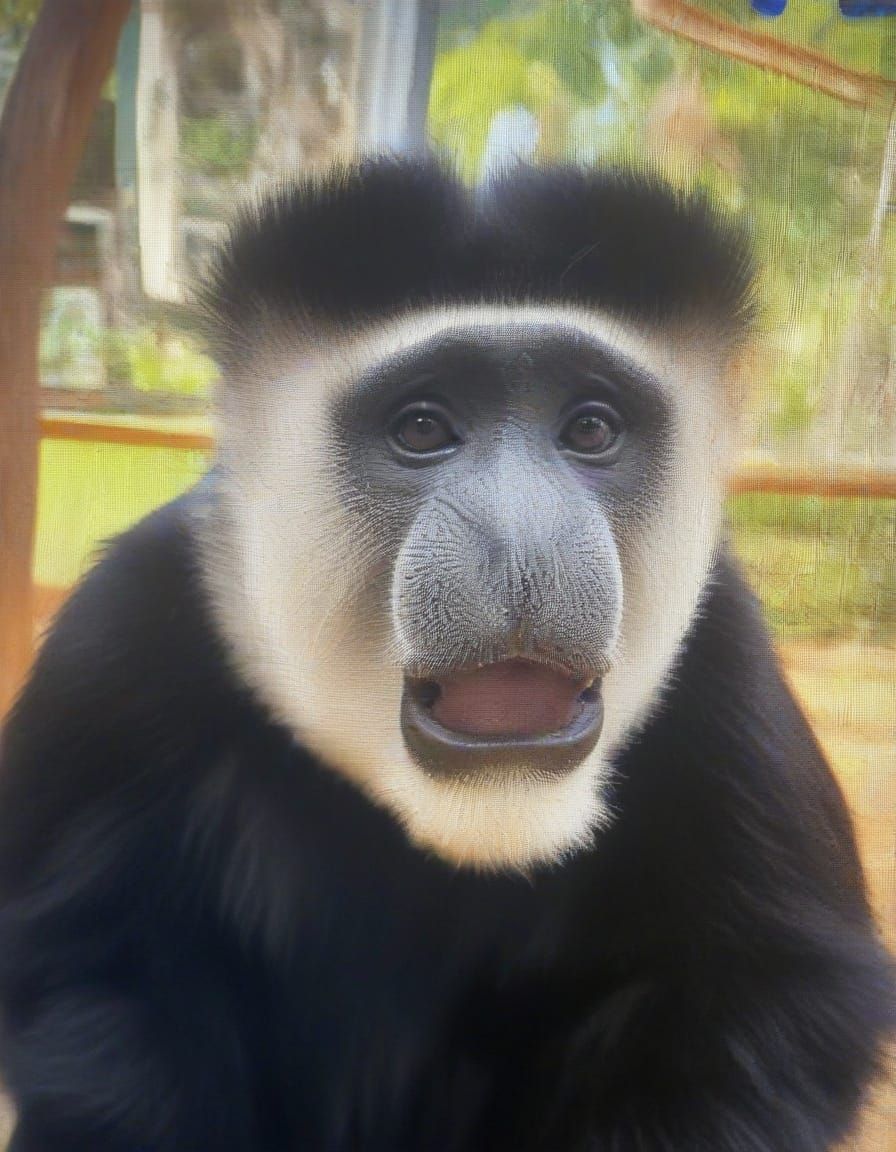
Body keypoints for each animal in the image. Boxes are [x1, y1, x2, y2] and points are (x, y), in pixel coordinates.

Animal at [0, 156, 892, 1151]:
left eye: (590, 428)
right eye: (423, 428)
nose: (521, 542)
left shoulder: (728, 657)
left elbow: (767, 990)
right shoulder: (114, 651)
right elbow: (95, 973)